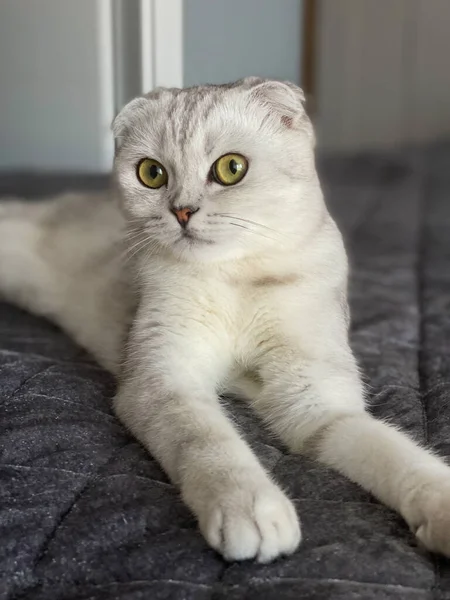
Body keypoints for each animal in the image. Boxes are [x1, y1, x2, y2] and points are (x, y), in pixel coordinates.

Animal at [0, 76, 450, 564]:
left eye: (231, 168)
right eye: (152, 173)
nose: (181, 211)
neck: (237, 278)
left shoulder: (317, 400)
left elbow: (392, 450)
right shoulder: (163, 381)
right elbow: (208, 442)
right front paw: (250, 507)